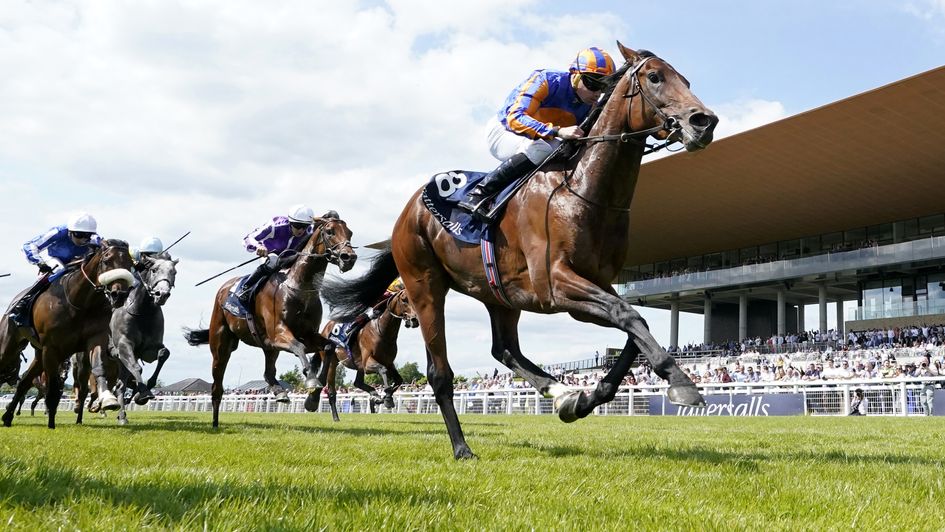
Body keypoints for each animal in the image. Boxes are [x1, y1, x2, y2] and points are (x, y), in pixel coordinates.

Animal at [0, 240, 136, 428]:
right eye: (107, 260)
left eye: (130, 264)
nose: (120, 294)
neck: (79, 302)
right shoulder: (51, 348)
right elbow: (53, 386)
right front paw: (51, 423)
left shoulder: (95, 339)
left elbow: (98, 368)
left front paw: (108, 400)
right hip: (11, 344)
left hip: (39, 353)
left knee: (25, 381)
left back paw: (8, 417)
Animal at [184, 212, 358, 428]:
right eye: (330, 231)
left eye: (350, 232)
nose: (349, 257)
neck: (299, 288)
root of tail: (224, 289)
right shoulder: (279, 334)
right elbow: (300, 348)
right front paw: (311, 381)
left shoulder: (307, 334)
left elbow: (328, 347)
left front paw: (312, 398)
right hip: (222, 346)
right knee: (217, 387)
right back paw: (215, 423)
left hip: (267, 346)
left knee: (268, 372)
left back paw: (279, 392)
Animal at [318, 282, 418, 420]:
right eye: (404, 299)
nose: (414, 320)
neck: (382, 331)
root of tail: (325, 328)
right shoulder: (368, 363)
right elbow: (383, 370)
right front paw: (386, 398)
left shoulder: (388, 362)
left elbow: (399, 380)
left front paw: (382, 398)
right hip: (333, 362)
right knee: (332, 390)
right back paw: (336, 417)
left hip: (358, 364)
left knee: (358, 383)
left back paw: (374, 395)